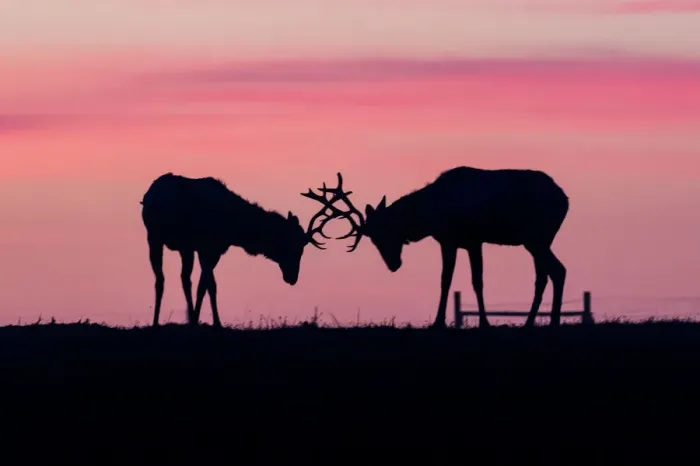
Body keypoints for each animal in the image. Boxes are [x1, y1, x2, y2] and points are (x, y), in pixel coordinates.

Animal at [141, 172, 338, 328]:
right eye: (294, 248)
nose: (292, 277)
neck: (234, 229)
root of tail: (151, 196)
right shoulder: (207, 247)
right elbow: (210, 285)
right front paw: (215, 323)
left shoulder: (212, 250)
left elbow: (203, 286)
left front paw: (197, 318)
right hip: (167, 240)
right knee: (172, 279)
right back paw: (167, 321)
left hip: (170, 242)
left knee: (172, 278)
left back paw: (169, 320)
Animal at [304, 168, 570, 329]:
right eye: (374, 239)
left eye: (386, 232)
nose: (393, 264)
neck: (430, 216)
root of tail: (564, 199)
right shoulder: (450, 241)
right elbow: (446, 280)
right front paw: (440, 321)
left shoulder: (470, 240)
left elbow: (476, 281)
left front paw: (482, 323)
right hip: (537, 241)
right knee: (545, 275)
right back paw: (532, 322)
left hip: (537, 237)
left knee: (557, 270)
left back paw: (552, 322)